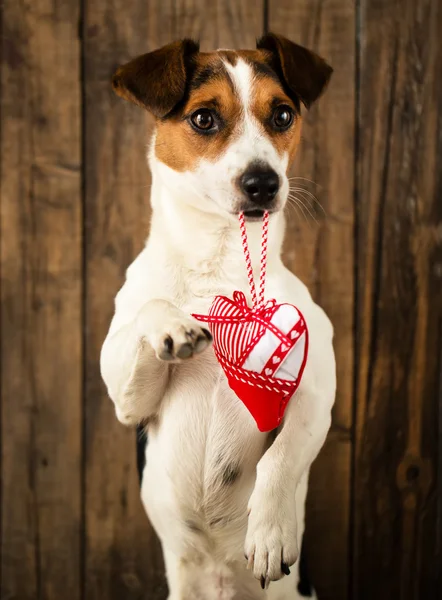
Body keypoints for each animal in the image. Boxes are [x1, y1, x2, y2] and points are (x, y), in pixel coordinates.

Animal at [100, 34, 334, 600]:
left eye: (283, 113)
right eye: (204, 118)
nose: (263, 182)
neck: (219, 263)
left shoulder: (318, 393)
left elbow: (280, 457)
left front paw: (270, 532)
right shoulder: (128, 402)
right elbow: (150, 309)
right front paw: (174, 325)